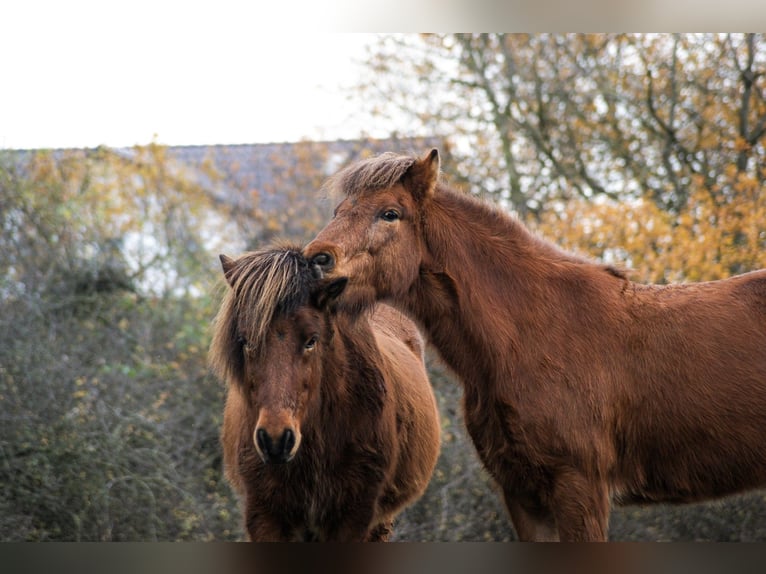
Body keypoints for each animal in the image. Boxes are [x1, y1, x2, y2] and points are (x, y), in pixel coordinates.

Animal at [304, 150, 766, 544]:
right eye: (338, 212)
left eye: (390, 214)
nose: (315, 260)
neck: (528, 337)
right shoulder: (523, 494)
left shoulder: (579, 487)